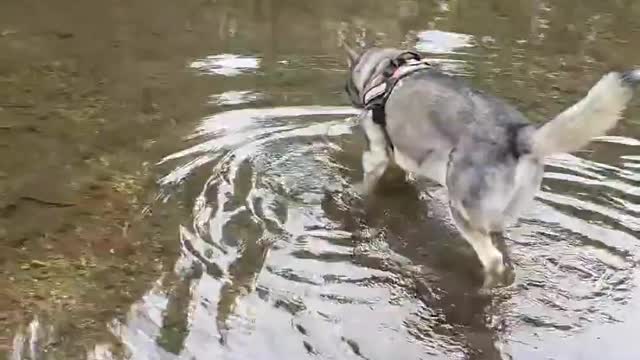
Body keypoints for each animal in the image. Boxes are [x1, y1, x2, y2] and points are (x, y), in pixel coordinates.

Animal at [344, 44, 640, 286]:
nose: (345, 90)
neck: (387, 70)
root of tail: (519, 133)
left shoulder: (376, 154)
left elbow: (367, 183)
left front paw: (353, 193)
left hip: (461, 210)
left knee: (493, 259)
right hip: (497, 218)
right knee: (501, 251)